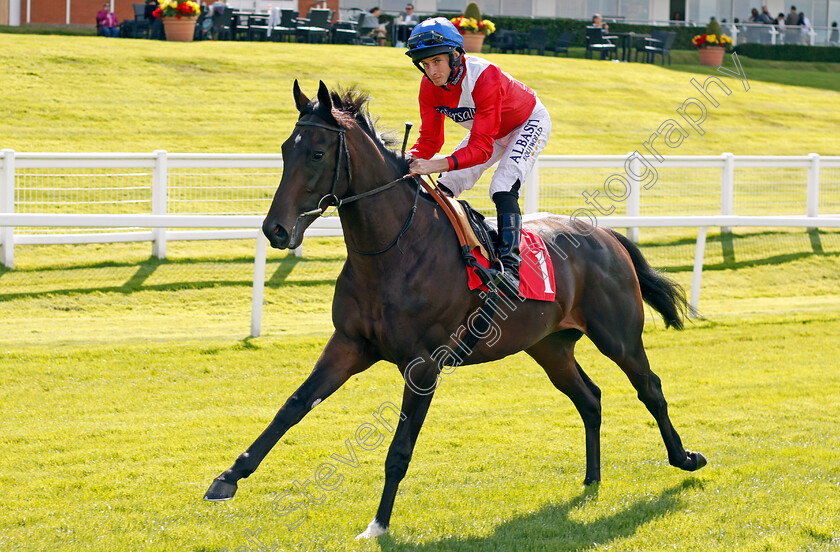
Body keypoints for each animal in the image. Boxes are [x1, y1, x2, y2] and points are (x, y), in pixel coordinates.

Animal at [205, 82, 708, 540]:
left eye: (316, 153)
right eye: (285, 150)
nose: (275, 229)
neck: (393, 251)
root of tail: (607, 236)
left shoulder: (424, 364)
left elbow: (399, 448)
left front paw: (378, 524)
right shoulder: (349, 344)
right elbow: (292, 407)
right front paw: (227, 477)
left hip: (619, 336)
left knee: (651, 389)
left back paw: (685, 458)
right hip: (549, 346)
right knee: (590, 397)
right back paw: (592, 478)